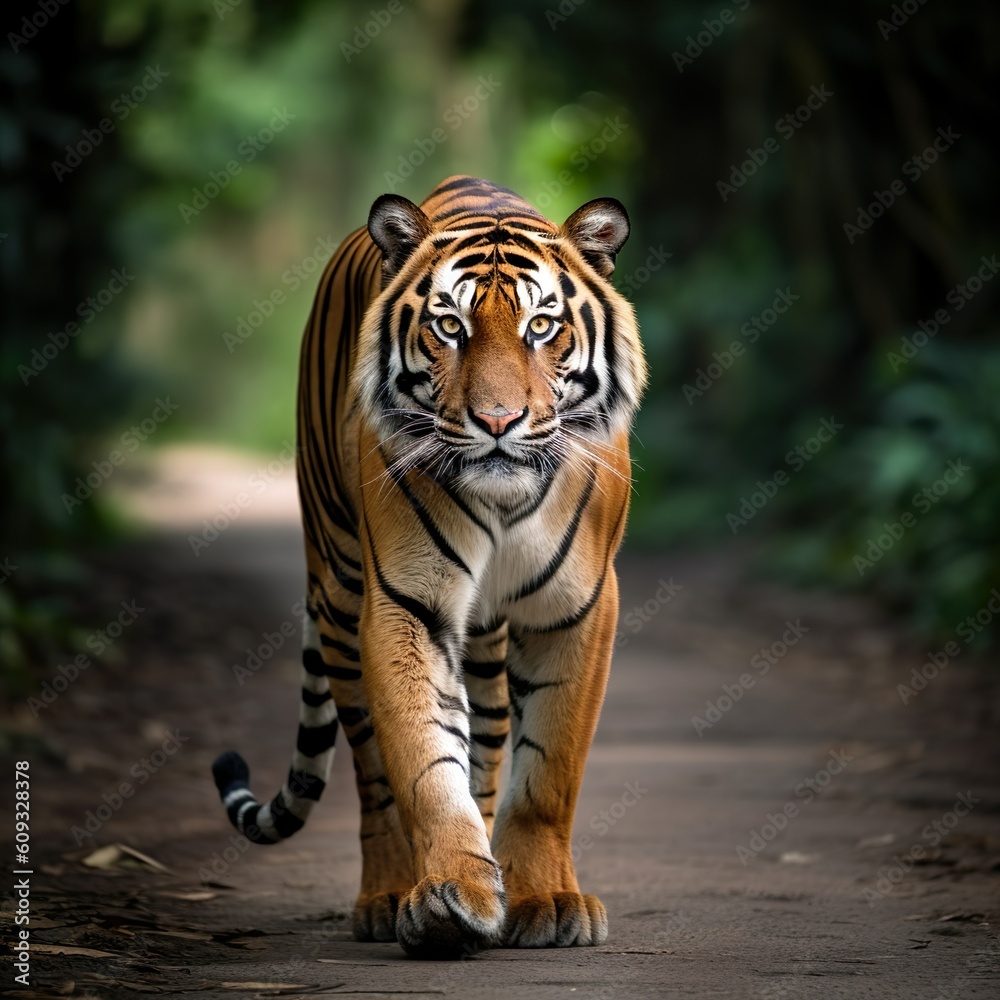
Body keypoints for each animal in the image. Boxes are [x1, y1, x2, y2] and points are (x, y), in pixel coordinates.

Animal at [212, 175, 647, 958]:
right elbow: (423, 761)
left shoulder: (579, 605)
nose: (498, 422)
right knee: (372, 770)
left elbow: (548, 771)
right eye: (450, 327)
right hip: (338, 591)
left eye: (542, 327)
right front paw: (451, 895)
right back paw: (387, 895)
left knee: (493, 737)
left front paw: (545, 899)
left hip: (486, 641)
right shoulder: (404, 600)